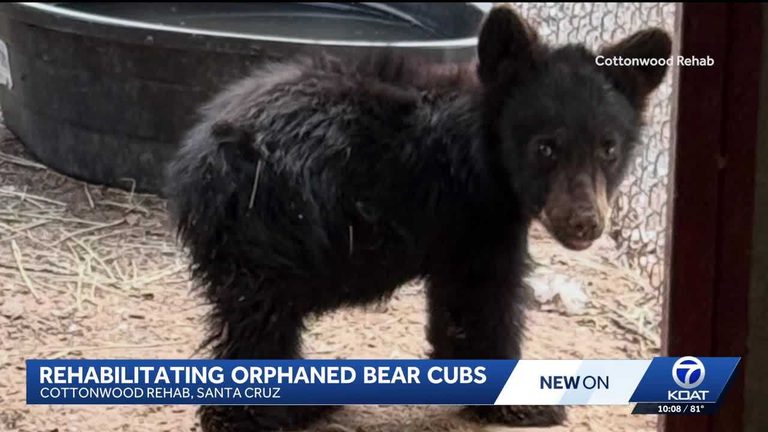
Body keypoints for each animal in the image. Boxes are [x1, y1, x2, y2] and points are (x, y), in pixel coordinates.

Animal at [164, 5, 671, 431]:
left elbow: (455, 304)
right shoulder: (476, 215)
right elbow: (483, 300)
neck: (485, 150)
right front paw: (525, 404)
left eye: (608, 149)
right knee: (260, 329)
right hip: (273, 231)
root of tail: (198, 161)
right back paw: (266, 415)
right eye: (545, 148)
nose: (585, 223)